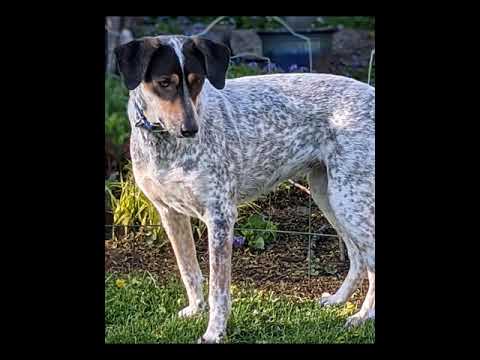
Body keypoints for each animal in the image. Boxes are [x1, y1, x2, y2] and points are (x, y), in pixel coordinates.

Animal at [115, 35, 376, 344]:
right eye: (164, 82)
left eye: (197, 80)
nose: (191, 129)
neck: (165, 146)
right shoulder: (169, 213)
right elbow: (189, 271)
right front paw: (195, 310)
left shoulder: (219, 217)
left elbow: (219, 291)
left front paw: (214, 332)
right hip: (329, 196)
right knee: (358, 257)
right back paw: (338, 300)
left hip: (350, 201)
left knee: (370, 259)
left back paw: (363, 316)